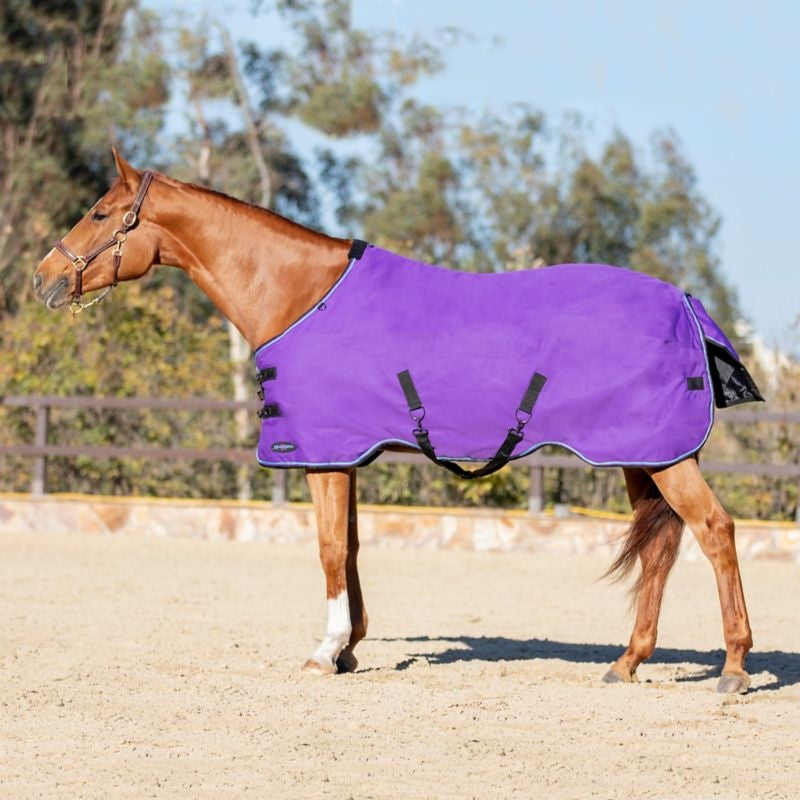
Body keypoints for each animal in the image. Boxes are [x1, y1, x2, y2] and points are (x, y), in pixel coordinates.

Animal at [34, 150, 761, 694]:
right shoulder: (345, 454)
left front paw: (324, 652)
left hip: (665, 457)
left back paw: (733, 667)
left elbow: (329, 548)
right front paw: (350, 649)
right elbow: (352, 547)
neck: (302, 296)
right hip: (644, 455)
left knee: (716, 532)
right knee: (663, 549)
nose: (42, 278)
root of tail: (684, 301)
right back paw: (627, 661)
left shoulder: (320, 454)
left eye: (100, 212)